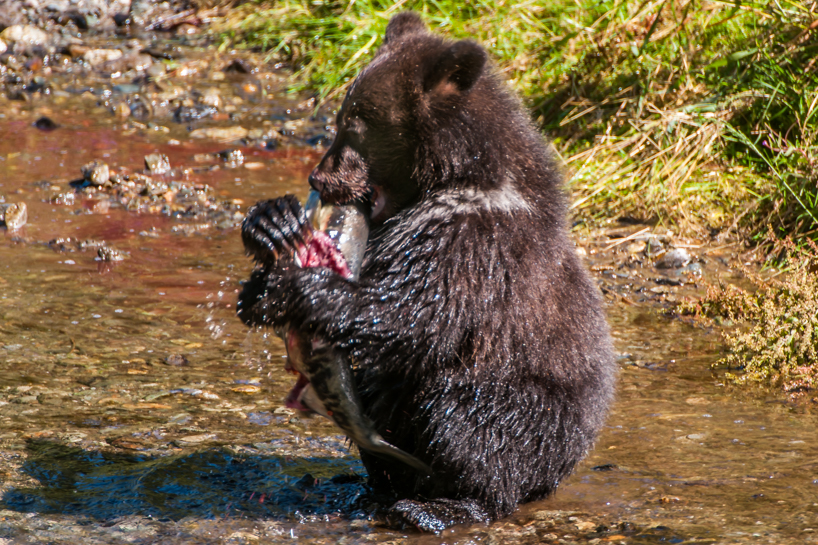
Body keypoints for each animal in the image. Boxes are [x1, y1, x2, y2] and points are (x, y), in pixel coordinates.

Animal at [237, 11, 617, 532]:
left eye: (354, 124)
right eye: (341, 118)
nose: (319, 177)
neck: (456, 178)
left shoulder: (479, 246)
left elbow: (416, 314)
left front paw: (297, 286)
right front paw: (270, 227)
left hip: (535, 411)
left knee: (467, 418)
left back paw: (441, 506)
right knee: (382, 401)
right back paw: (373, 486)